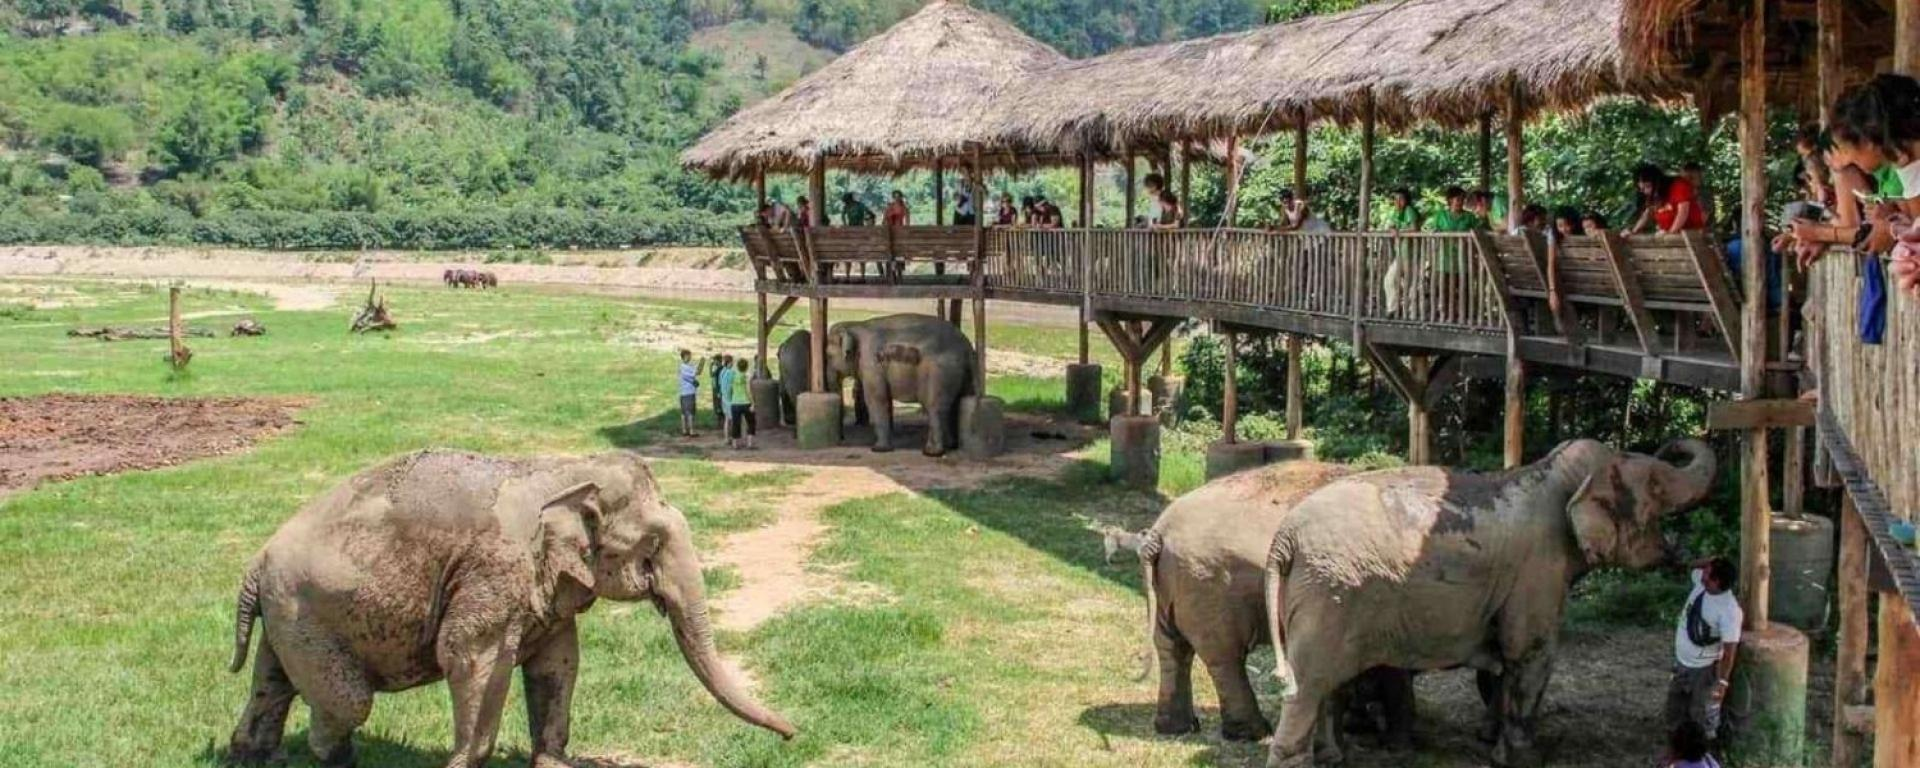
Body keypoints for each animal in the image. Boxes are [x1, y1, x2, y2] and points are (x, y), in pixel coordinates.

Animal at [224, 450, 795, 768]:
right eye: (651, 546)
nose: (794, 733)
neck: (563, 471)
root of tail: (255, 562)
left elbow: (559, 662)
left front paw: (555, 763)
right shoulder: (494, 571)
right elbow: (468, 657)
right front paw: (464, 763)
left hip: (288, 616)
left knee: (271, 683)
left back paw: (254, 757)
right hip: (305, 612)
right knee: (347, 702)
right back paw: (337, 758)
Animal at [824, 314, 975, 455]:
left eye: (828, 356)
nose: (842, 440)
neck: (855, 325)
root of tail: (967, 346)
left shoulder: (871, 363)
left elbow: (876, 399)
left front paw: (878, 449)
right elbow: (884, 399)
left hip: (941, 372)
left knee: (934, 407)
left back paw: (932, 452)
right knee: (955, 404)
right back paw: (950, 446)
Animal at [1260, 438, 1717, 768]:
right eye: (1656, 485)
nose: (1671, 444)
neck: (1551, 474)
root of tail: (1284, 538)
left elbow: (1505, 662)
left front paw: (1491, 744)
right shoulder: (1539, 570)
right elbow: (1532, 654)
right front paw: (1527, 760)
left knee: (1324, 686)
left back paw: (1332, 758)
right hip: (1329, 596)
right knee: (1309, 686)